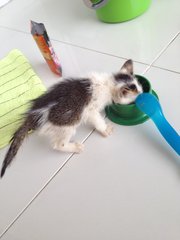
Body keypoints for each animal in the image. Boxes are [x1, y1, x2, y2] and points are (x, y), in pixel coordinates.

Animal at [0, 59, 143, 177]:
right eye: (137, 98)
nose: (143, 95)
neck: (108, 83)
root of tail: (34, 114)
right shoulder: (90, 110)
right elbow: (97, 119)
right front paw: (105, 129)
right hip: (67, 124)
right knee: (58, 144)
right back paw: (75, 147)